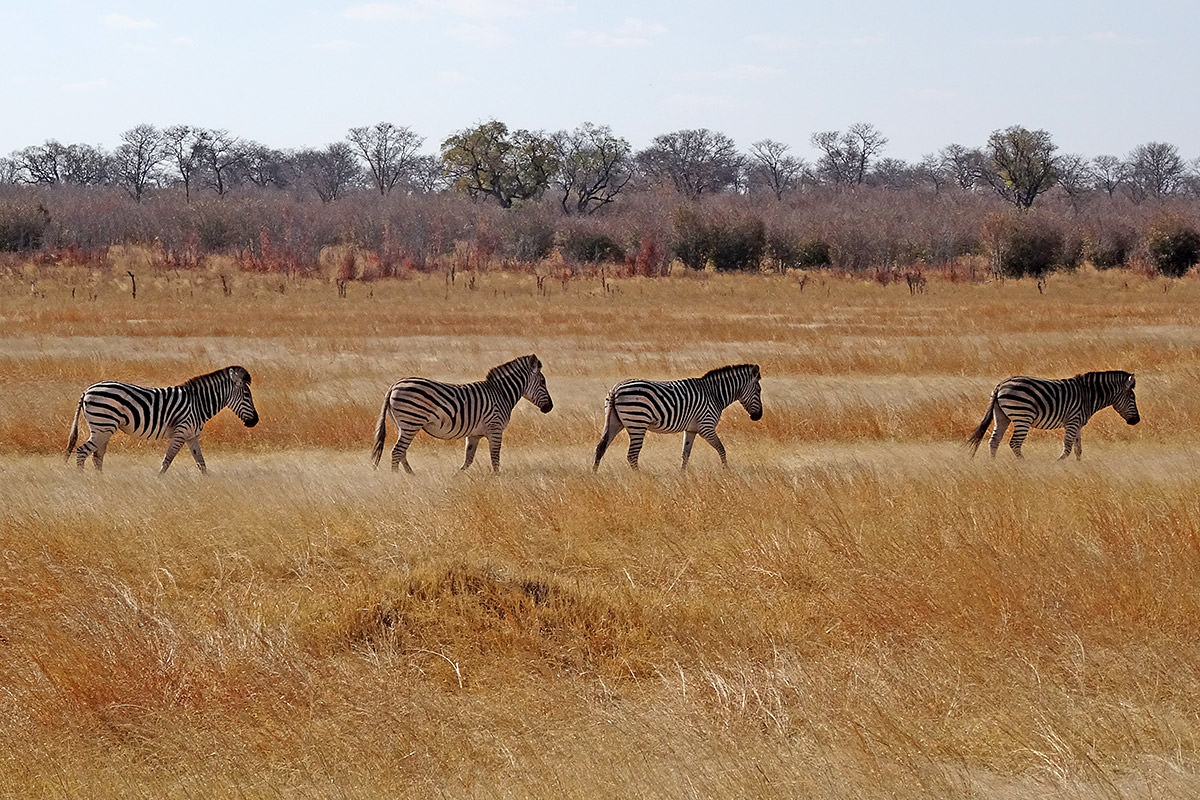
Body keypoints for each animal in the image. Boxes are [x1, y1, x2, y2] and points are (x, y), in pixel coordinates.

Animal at [66, 367, 259, 472]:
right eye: (247, 395)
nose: (255, 421)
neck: (198, 402)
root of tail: (87, 390)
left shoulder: (191, 435)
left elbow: (201, 463)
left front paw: (207, 485)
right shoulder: (181, 432)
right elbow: (167, 460)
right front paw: (159, 480)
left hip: (104, 429)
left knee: (97, 456)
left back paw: (100, 482)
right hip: (102, 426)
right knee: (82, 451)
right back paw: (84, 481)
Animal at [369, 352, 552, 472]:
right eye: (543, 381)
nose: (549, 407)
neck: (501, 393)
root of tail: (394, 385)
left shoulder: (474, 434)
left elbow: (468, 460)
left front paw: (456, 477)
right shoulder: (495, 428)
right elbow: (495, 459)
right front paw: (497, 478)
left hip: (404, 424)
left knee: (402, 452)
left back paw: (411, 476)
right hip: (411, 421)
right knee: (397, 451)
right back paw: (397, 477)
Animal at [592, 367, 768, 472]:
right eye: (759, 390)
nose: (758, 416)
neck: (715, 394)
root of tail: (616, 389)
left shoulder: (691, 429)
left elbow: (685, 454)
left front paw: (682, 476)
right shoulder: (706, 426)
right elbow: (721, 449)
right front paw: (726, 471)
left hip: (614, 422)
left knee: (600, 448)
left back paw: (595, 475)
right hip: (637, 423)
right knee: (632, 455)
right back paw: (641, 478)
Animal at [964, 371, 1142, 460]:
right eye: (1132, 397)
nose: (1136, 420)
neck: (1089, 395)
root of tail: (1000, 385)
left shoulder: (1077, 423)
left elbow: (1078, 449)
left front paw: (1079, 468)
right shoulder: (1073, 420)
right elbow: (1068, 447)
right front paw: (1059, 465)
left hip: (1001, 416)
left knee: (994, 441)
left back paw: (992, 465)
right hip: (1023, 416)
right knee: (1015, 443)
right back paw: (1024, 465)